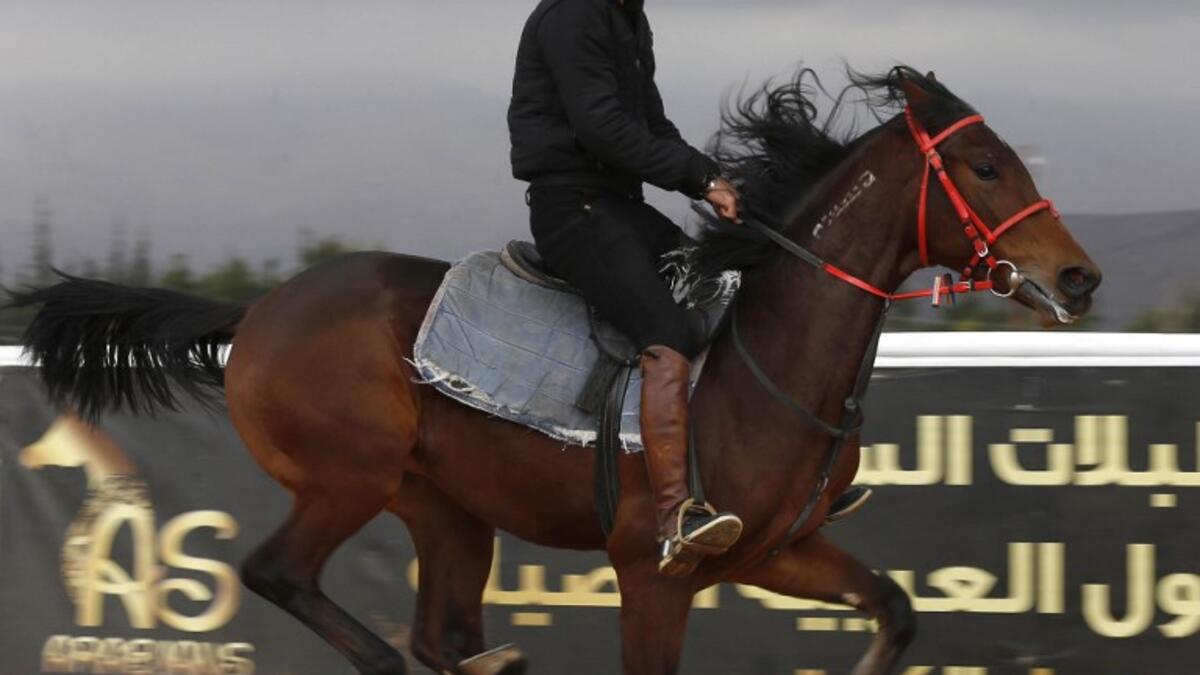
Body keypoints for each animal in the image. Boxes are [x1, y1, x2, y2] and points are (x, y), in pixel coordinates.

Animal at [8, 67, 1101, 675]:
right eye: (987, 166)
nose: (1078, 277)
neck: (764, 366)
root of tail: (261, 308)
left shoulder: (774, 552)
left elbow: (896, 611)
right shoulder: (657, 572)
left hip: (445, 510)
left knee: (441, 630)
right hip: (345, 478)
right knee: (285, 577)